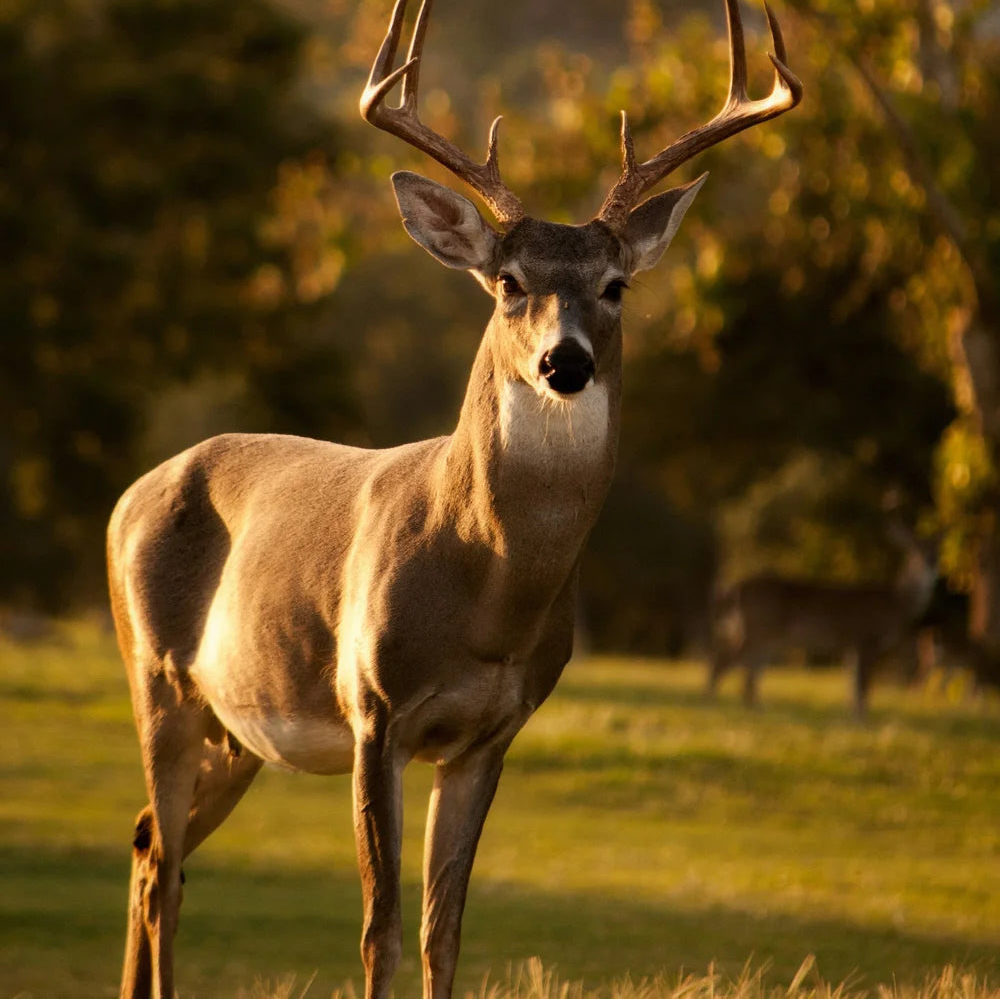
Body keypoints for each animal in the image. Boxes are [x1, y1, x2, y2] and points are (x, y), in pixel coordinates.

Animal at [106, 1, 800, 996]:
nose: (564, 361)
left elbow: (445, 931)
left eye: (615, 285)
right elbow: (380, 929)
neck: (487, 591)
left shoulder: (490, 735)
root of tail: (132, 493)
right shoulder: (374, 709)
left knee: (145, 846)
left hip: (236, 730)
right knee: (162, 866)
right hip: (156, 678)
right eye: (510, 282)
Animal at [708, 524, 938, 715]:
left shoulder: (851, 645)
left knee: (749, 671)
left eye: (937, 547)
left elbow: (852, 683)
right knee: (726, 661)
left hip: (764, 636)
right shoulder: (865, 638)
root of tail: (735, 589)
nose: (932, 561)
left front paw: (852, 716)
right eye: (916, 549)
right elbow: (862, 685)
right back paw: (713, 701)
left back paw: (755, 707)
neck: (897, 603)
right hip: (759, 629)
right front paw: (862, 718)